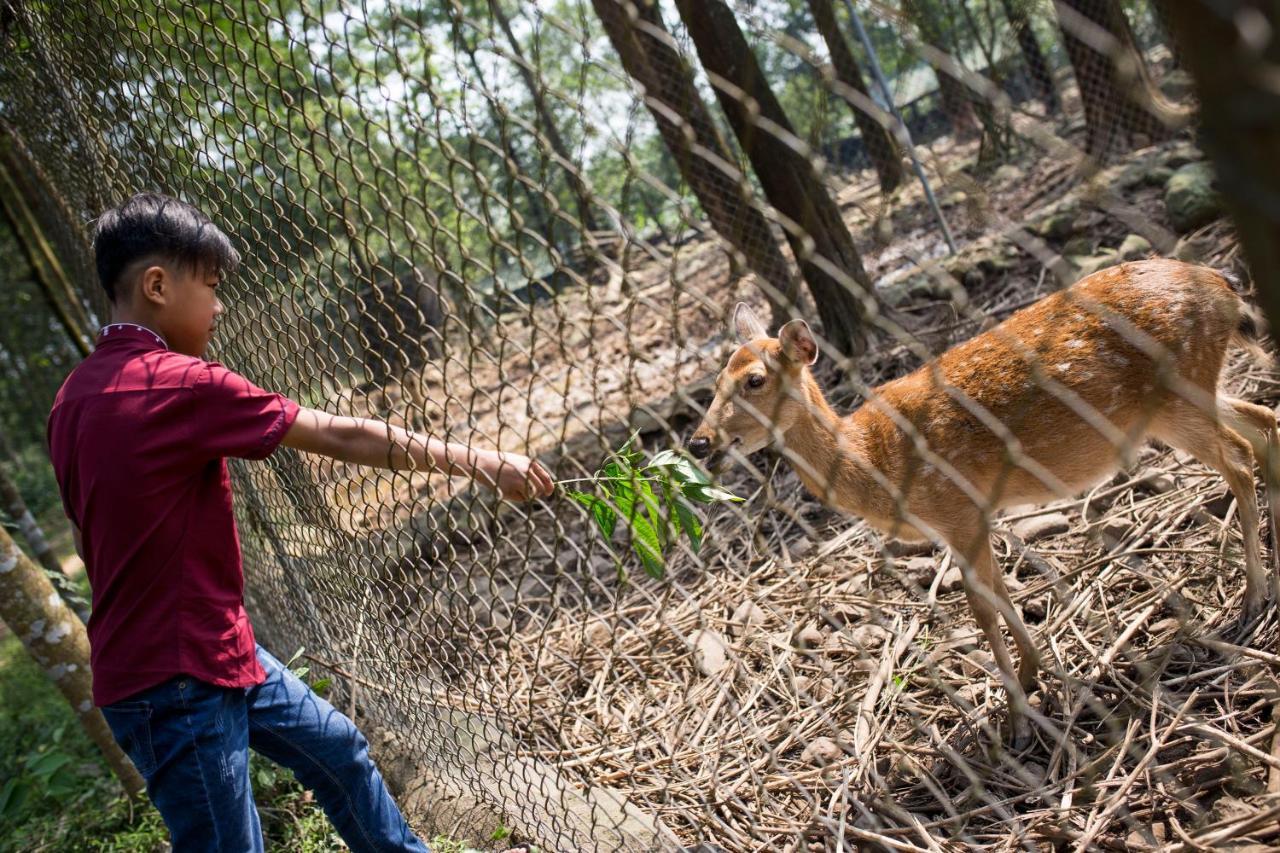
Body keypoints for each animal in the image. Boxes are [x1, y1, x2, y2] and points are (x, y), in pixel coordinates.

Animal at [691, 258, 1280, 742]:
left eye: (755, 380)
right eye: (715, 382)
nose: (700, 442)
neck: (875, 459)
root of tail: (1224, 286)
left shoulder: (957, 509)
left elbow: (980, 607)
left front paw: (1016, 720)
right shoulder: (971, 518)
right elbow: (1000, 593)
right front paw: (1033, 676)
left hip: (1178, 391)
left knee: (1238, 457)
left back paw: (1251, 600)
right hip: (1195, 390)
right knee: (1262, 422)